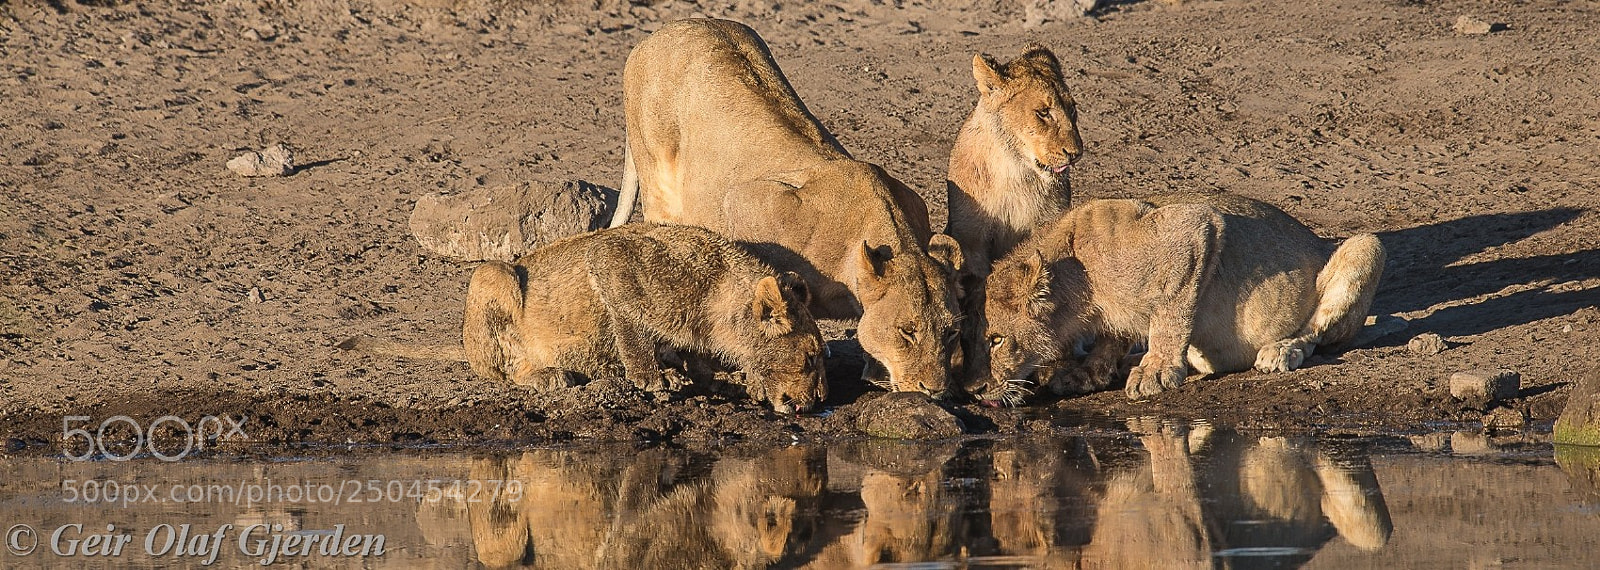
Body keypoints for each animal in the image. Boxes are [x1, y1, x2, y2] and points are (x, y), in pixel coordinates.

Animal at [462, 222, 826, 413]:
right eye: (809, 358)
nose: (819, 400)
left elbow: (696, 360)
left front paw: (731, 378)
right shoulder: (612, 254)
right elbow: (630, 324)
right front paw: (653, 378)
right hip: (492, 274)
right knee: (504, 371)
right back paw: (551, 375)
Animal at [607, 18, 964, 397]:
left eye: (951, 333)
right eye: (907, 331)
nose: (935, 390)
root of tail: (660, 32)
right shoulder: (747, 203)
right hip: (656, 181)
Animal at [974, 192, 1385, 403]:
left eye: (996, 340)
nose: (975, 390)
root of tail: (1316, 239)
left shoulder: (1192, 229)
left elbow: (1170, 315)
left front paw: (1155, 371)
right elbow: (1114, 336)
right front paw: (1088, 371)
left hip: (1367, 245)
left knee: (1316, 334)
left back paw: (1281, 350)